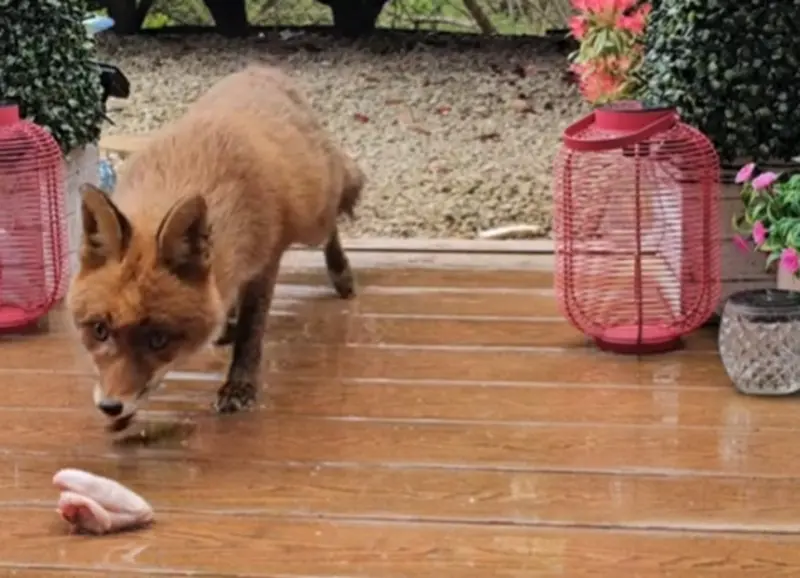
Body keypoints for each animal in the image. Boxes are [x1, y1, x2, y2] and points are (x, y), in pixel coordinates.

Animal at [65, 64, 366, 428]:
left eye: (159, 339)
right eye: (99, 330)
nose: (111, 406)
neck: (182, 173)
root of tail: (261, 69)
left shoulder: (265, 262)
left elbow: (252, 334)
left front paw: (240, 387)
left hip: (313, 220)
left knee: (332, 225)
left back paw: (341, 273)